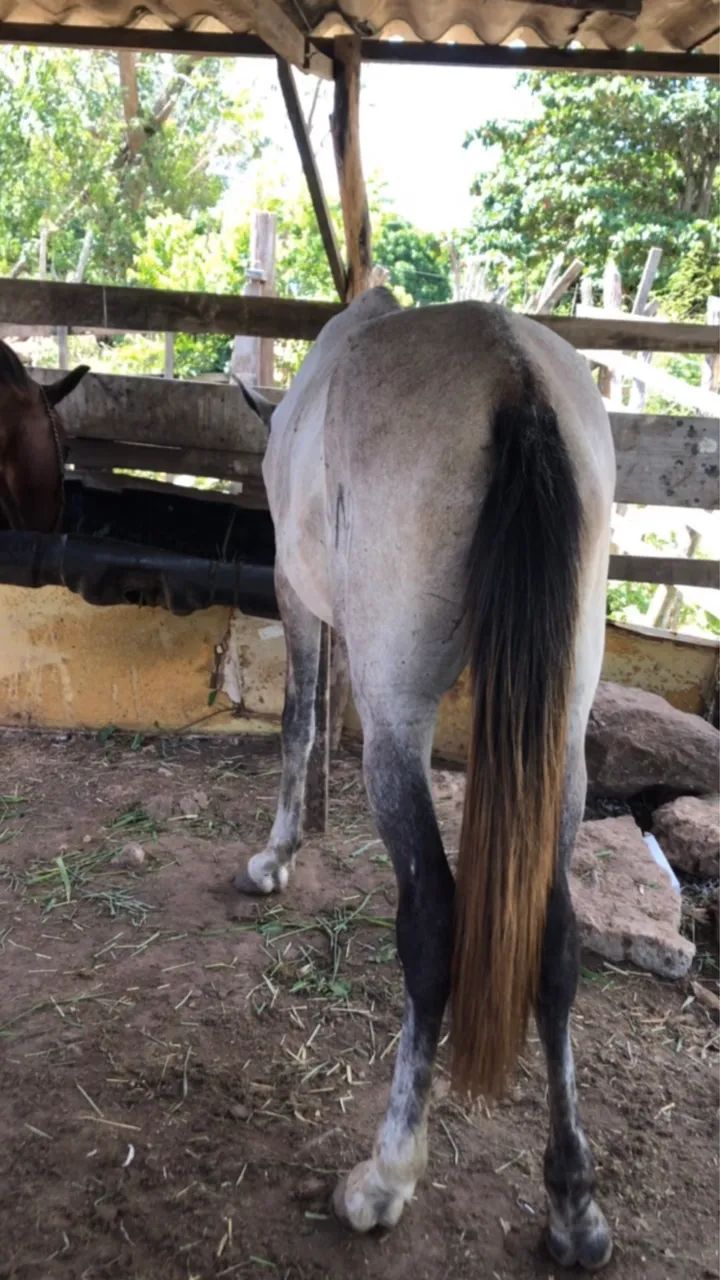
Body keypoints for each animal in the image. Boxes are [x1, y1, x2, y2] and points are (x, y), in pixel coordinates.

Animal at [237, 288, 615, 1271]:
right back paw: (573, 1206)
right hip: (561, 736)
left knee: (436, 925)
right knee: (557, 942)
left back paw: (384, 1177)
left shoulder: (295, 592)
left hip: (401, 720)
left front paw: (276, 855)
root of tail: (514, 377)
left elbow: (298, 716)